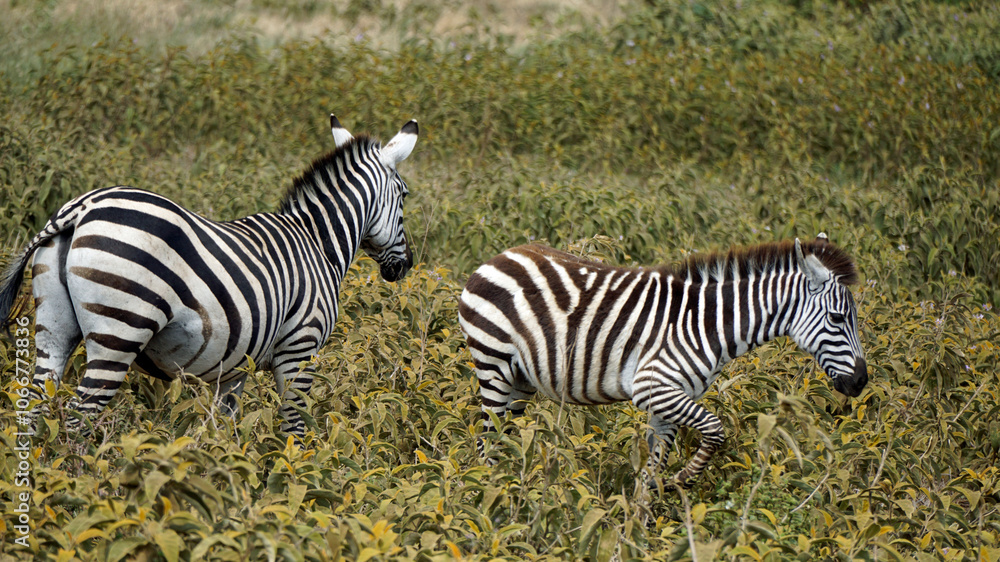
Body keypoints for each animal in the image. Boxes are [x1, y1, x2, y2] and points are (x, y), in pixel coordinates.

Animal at [0, 114, 418, 436]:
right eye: (404, 195)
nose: (406, 266)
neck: (317, 242)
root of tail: (81, 208)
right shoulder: (300, 349)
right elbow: (293, 426)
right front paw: (292, 477)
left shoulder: (235, 366)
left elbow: (225, 428)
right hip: (121, 329)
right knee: (78, 418)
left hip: (53, 327)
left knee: (35, 407)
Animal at [458, 234, 867, 488]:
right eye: (837, 318)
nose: (861, 382)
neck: (706, 324)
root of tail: (498, 257)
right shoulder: (653, 387)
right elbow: (716, 430)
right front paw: (680, 482)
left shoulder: (668, 401)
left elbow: (651, 472)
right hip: (493, 364)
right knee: (486, 442)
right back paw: (491, 501)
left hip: (521, 379)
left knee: (504, 440)